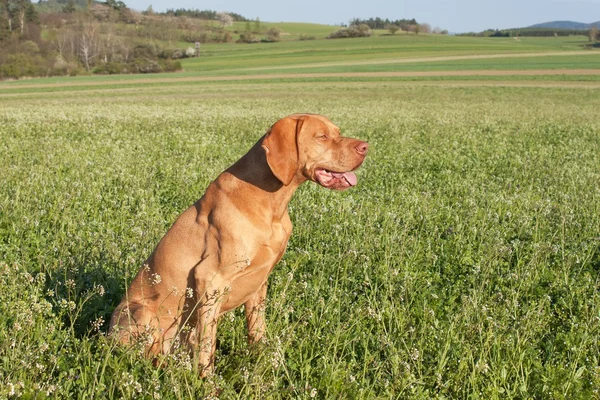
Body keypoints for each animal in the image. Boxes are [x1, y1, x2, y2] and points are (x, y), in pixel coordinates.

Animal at [110, 111, 368, 376]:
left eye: (337, 132)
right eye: (322, 136)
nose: (365, 147)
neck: (269, 201)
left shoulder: (259, 282)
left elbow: (256, 330)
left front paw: (263, 365)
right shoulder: (209, 280)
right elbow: (207, 348)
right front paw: (207, 382)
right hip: (140, 312)